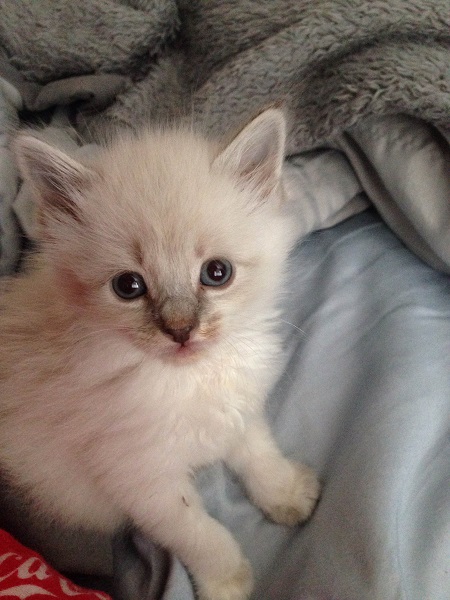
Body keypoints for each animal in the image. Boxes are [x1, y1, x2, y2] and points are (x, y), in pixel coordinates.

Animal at [0, 110, 320, 600]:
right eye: (128, 286)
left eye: (217, 273)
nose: (181, 331)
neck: (187, 379)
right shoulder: (144, 481)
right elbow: (201, 533)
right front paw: (228, 583)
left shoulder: (236, 408)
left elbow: (259, 455)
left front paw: (285, 493)